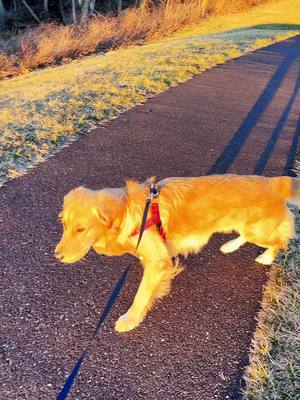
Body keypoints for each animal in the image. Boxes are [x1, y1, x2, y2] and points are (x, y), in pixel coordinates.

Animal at [55, 175, 298, 332]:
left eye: (81, 229)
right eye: (64, 224)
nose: (57, 255)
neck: (128, 213)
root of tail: (275, 182)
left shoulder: (158, 262)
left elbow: (141, 294)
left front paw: (130, 319)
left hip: (258, 231)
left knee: (281, 240)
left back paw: (266, 257)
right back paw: (229, 246)